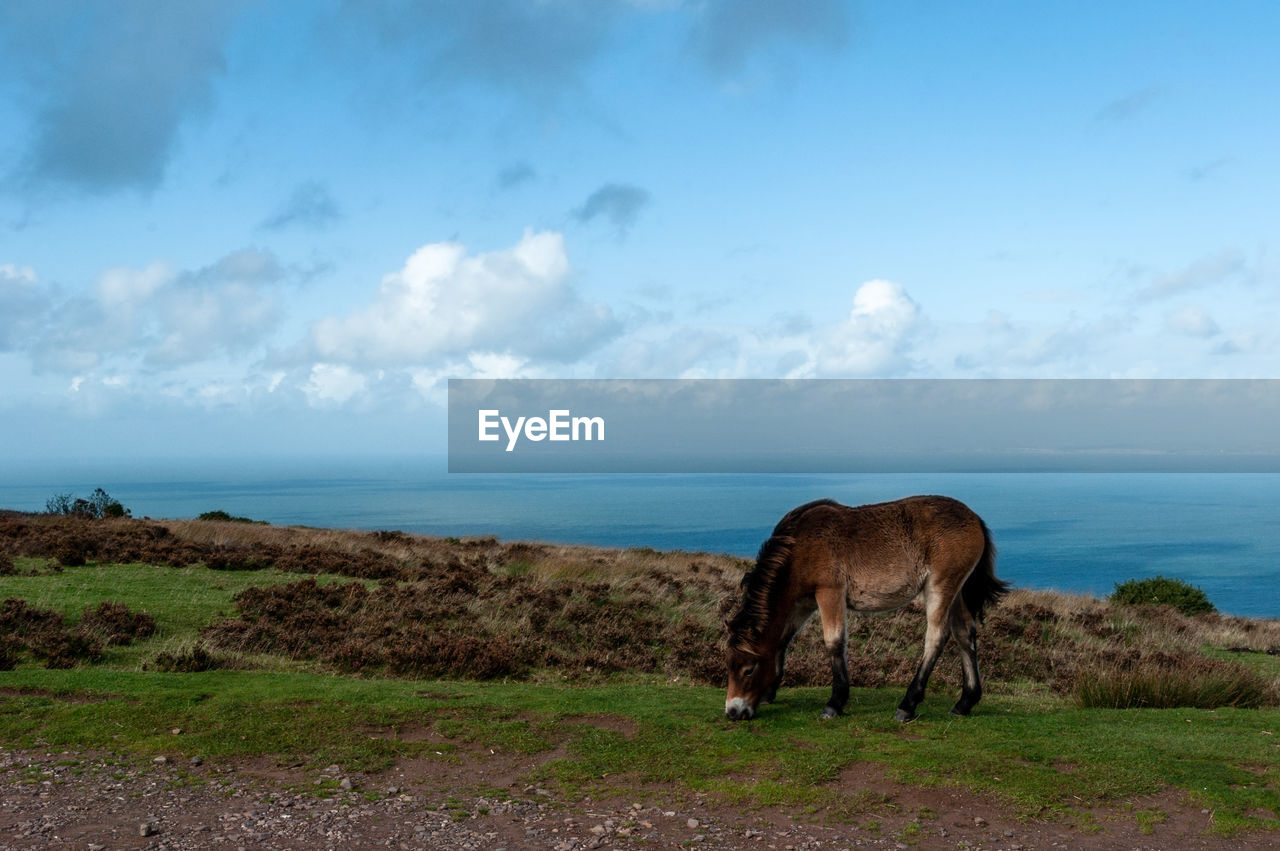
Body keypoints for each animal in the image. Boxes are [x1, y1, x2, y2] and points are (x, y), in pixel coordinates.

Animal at [727, 493, 1003, 721]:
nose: (733, 711)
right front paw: (771, 691)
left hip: (940, 586)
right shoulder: (802, 603)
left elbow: (834, 642)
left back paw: (907, 705)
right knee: (964, 633)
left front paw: (835, 703)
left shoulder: (829, 592)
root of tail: (975, 519)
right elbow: (783, 641)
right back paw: (965, 703)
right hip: (957, 592)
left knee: (937, 636)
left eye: (748, 670)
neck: (798, 548)